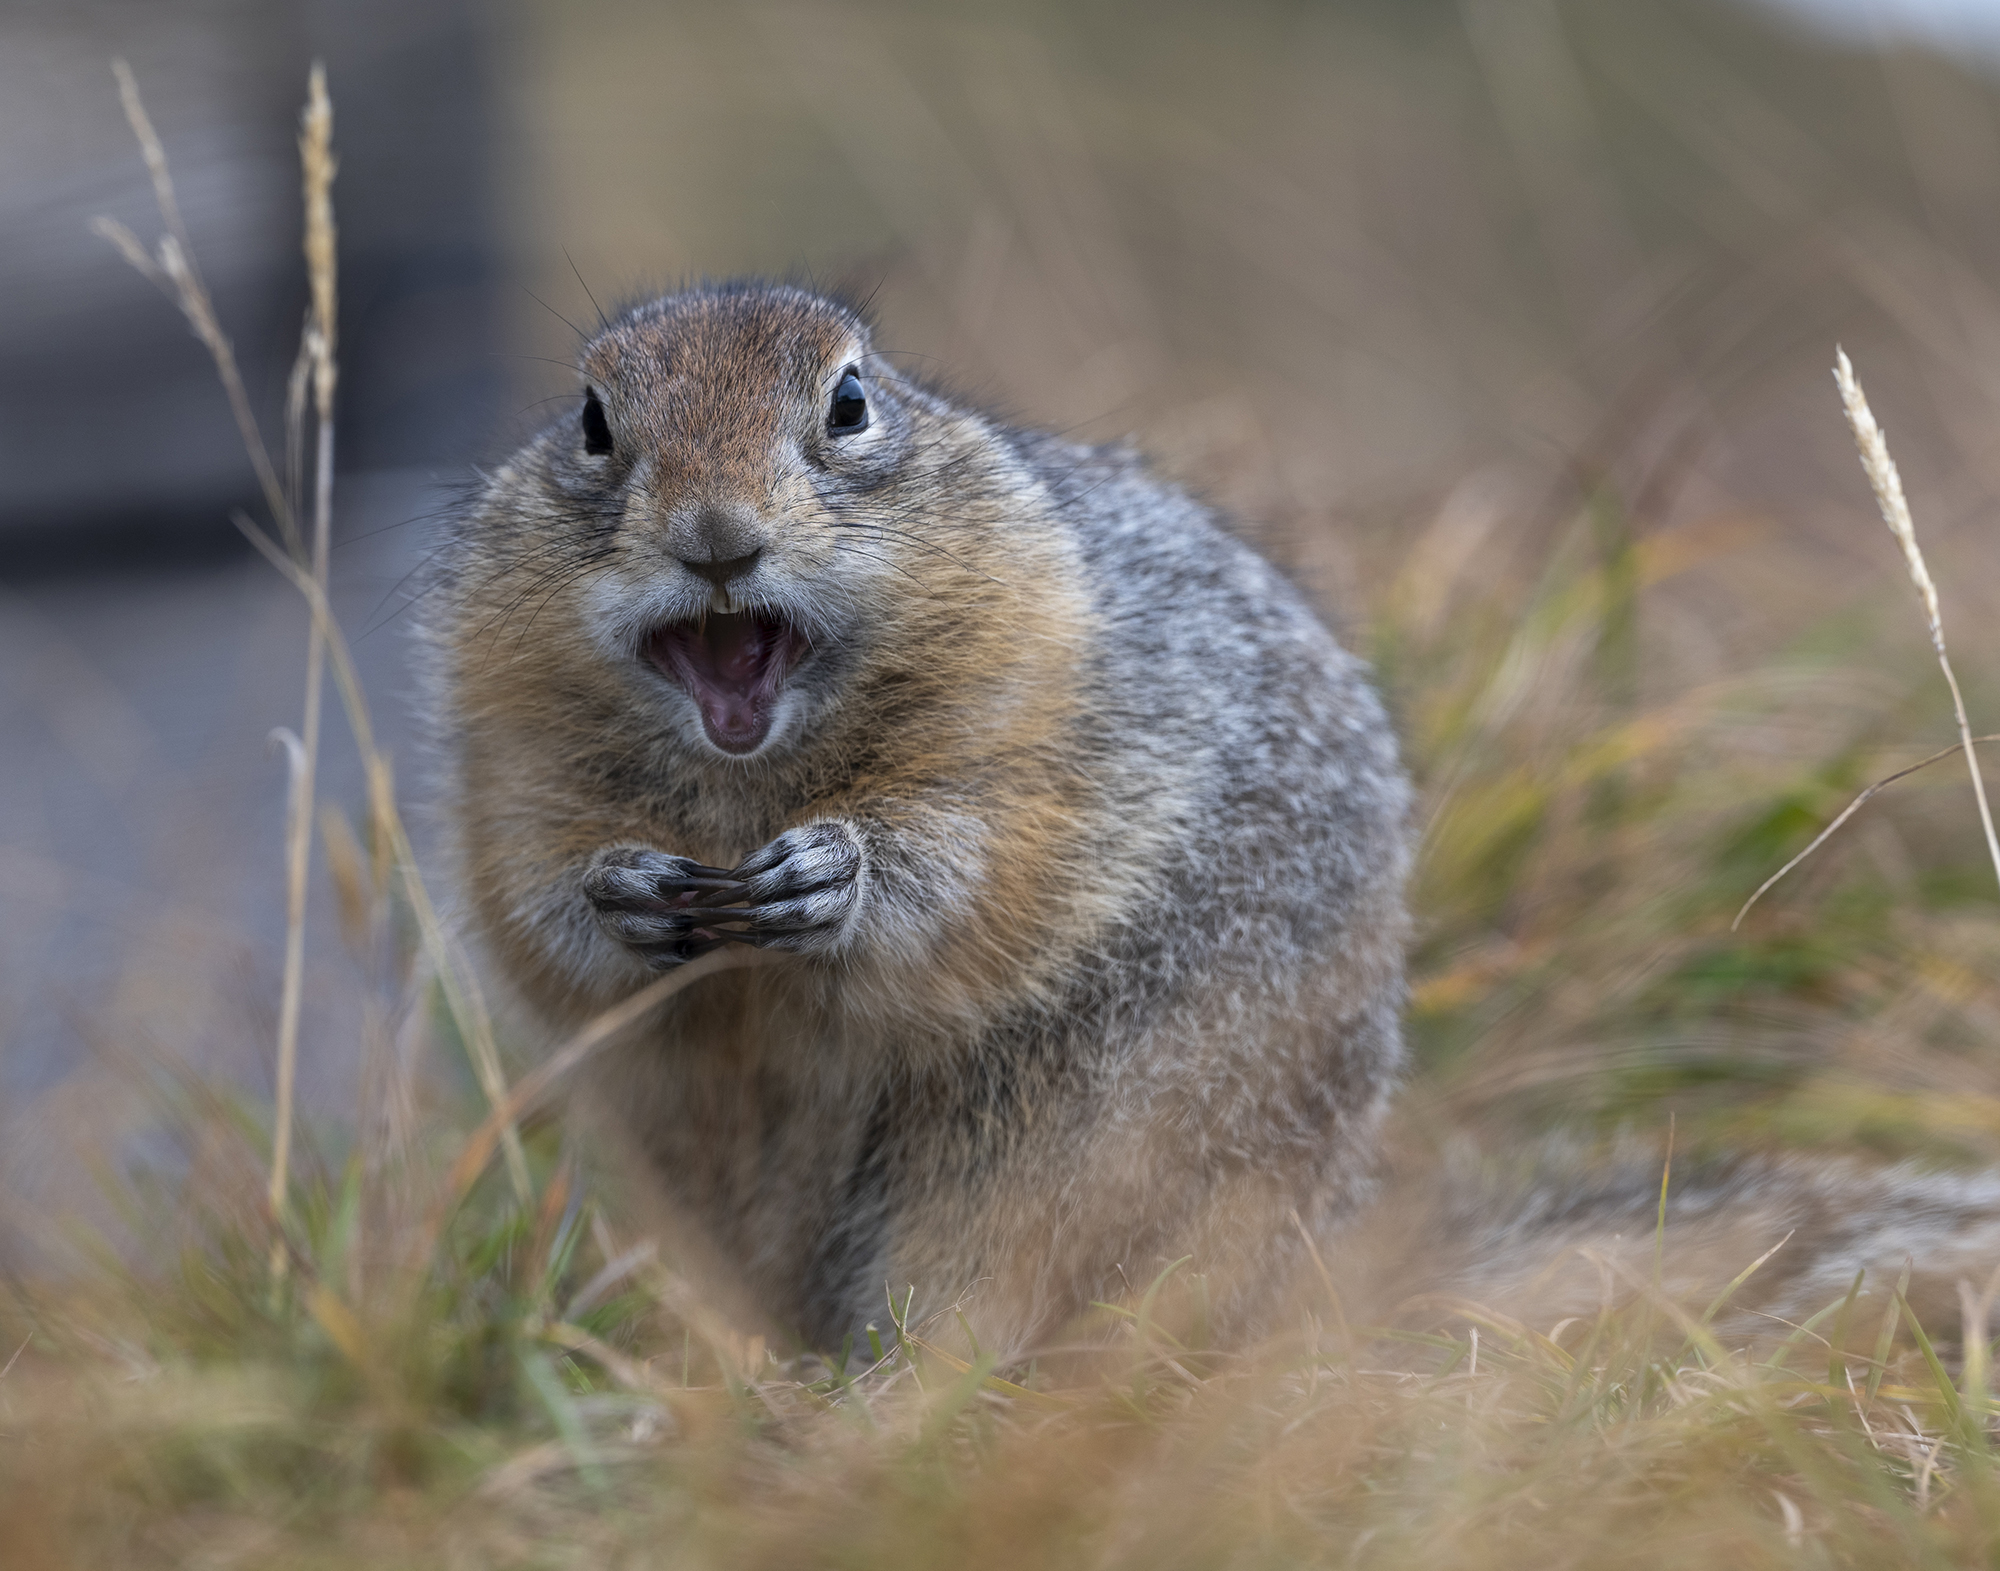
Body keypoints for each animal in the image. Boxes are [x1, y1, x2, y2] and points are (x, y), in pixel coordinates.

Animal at [428, 281, 1408, 1343]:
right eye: (593, 422)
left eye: (850, 402)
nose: (716, 535)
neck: (744, 786)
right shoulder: (513, 780)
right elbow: (535, 904)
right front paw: (621, 888)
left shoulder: (1025, 745)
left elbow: (964, 857)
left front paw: (833, 873)